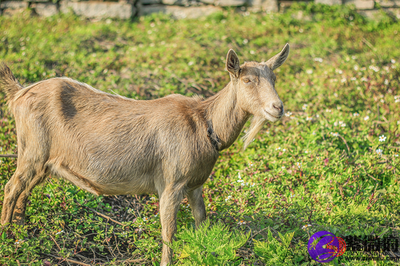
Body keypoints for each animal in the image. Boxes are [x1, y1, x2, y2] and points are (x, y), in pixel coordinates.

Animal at [0, 44, 288, 264]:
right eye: (247, 80)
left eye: (274, 79)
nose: (278, 107)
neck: (204, 124)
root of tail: (19, 93)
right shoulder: (171, 183)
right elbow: (169, 231)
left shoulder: (195, 184)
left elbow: (201, 221)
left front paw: (203, 251)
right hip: (32, 150)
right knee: (12, 186)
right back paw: (6, 235)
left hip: (45, 161)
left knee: (25, 189)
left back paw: (22, 231)